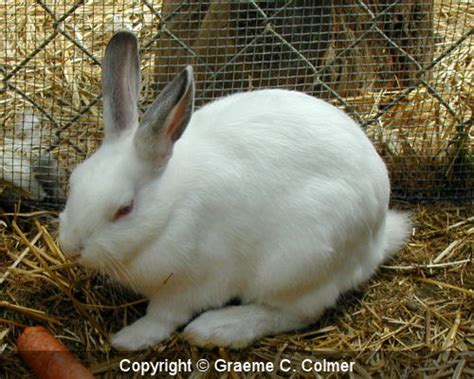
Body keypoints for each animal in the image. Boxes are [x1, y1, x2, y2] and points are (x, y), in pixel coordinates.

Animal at [58, 31, 412, 352]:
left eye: (125, 209)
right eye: (74, 182)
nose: (71, 247)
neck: (169, 209)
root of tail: (376, 239)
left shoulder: (189, 286)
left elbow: (163, 317)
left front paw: (128, 339)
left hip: (296, 264)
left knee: (296, 313)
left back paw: (217, 329)